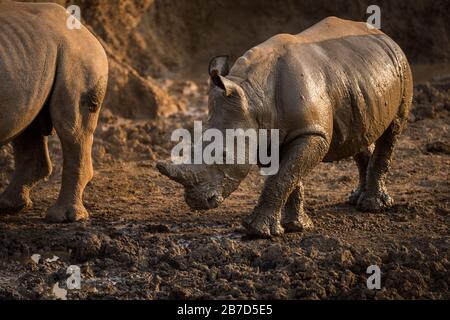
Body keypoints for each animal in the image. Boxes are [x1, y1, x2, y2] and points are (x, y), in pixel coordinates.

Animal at [0, 1, 108, 222]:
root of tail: (86, 30)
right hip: (30, 55)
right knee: (27, 123)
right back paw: (8, 206)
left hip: (76, 54)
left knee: (71, 127)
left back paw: (64, 217)